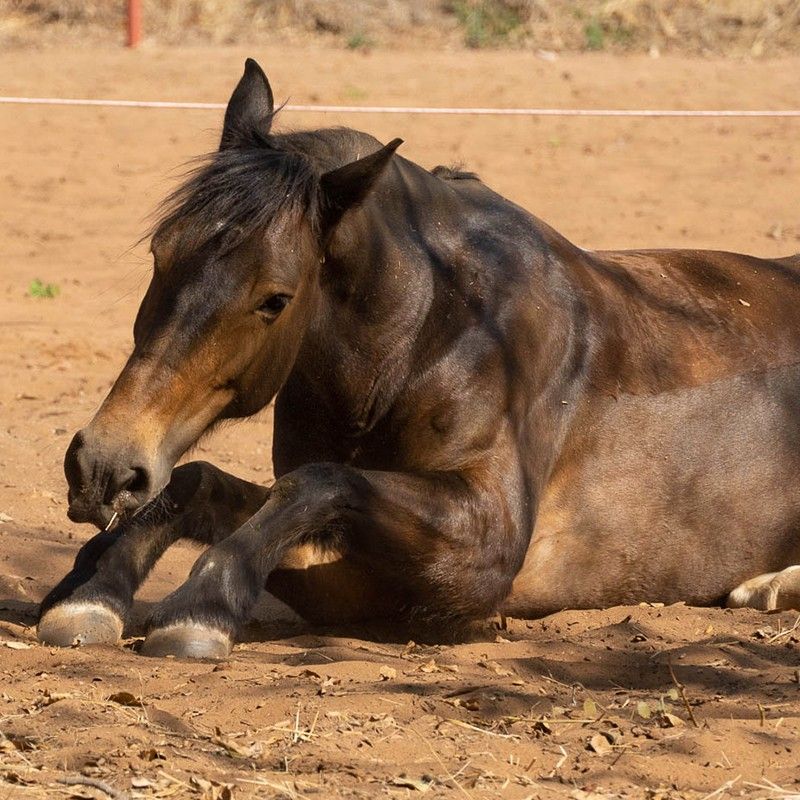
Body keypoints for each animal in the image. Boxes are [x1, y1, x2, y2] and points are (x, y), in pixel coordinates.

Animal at [37, 59, 800, 659]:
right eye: (159, 254)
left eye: (274, 299)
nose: (103, 467)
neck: (429, 338)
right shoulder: (344, 574)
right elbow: (208, 486)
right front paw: (91, 590)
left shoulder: (476, 557)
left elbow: (315, 484)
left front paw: (202, 607)